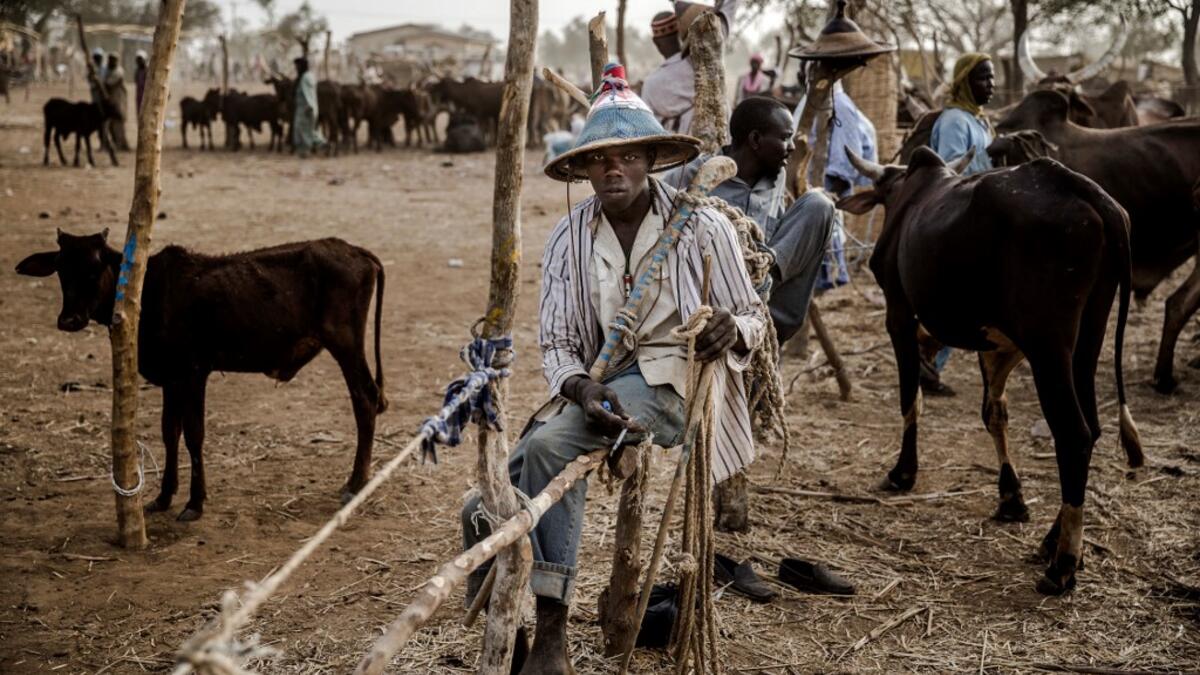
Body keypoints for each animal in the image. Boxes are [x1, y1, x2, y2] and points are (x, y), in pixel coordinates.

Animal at [16, 231, 388, 521]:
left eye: (95, 268)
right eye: (61, 270)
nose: (69, 320)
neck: (147, 292)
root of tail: (355, 250)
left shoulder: (194, 373)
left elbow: (194, 435)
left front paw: (195, 503)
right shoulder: (171, 379)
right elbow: (170, 432)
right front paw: (163, 497)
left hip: (346, 344)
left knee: (365, 399)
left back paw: (355, 483)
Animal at [837, 145, 1143, 595]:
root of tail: (1092, 196)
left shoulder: (898, 310)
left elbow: (911, 398)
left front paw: (903, 472)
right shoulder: (998, 342)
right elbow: (993, 412)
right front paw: (1010, 498)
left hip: (1048, 343)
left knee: (1074, 433)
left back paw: (1062, 566)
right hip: (1089, 334)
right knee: (1092, 426)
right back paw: (1054, 542)